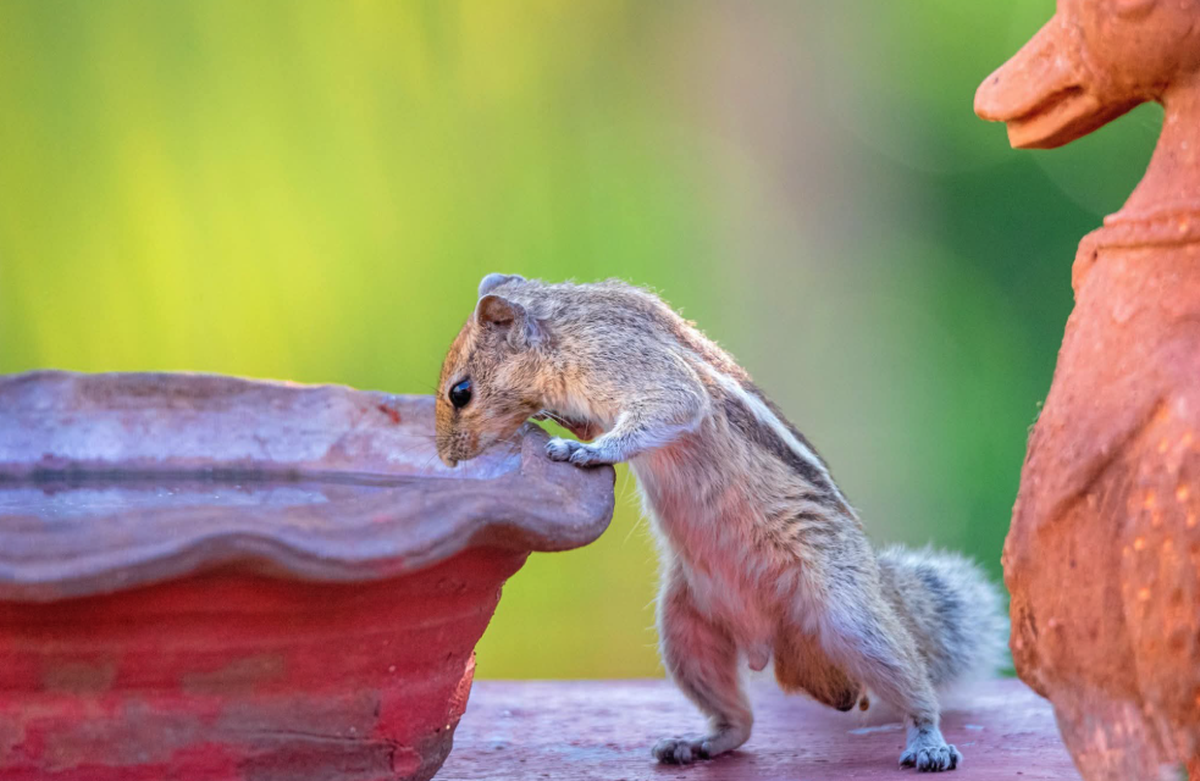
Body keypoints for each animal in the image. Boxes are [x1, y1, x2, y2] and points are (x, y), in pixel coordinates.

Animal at [435, 274, 1008, 773]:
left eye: (461, 391)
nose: (446, 459)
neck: (564, 325)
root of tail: (771, 645)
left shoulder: (627, 362)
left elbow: (671, 405)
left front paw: (585, 451)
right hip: (685, 633)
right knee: (739, 722)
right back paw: (697, 743)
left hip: (851, 618)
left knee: (913, 686)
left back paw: (928, 741)